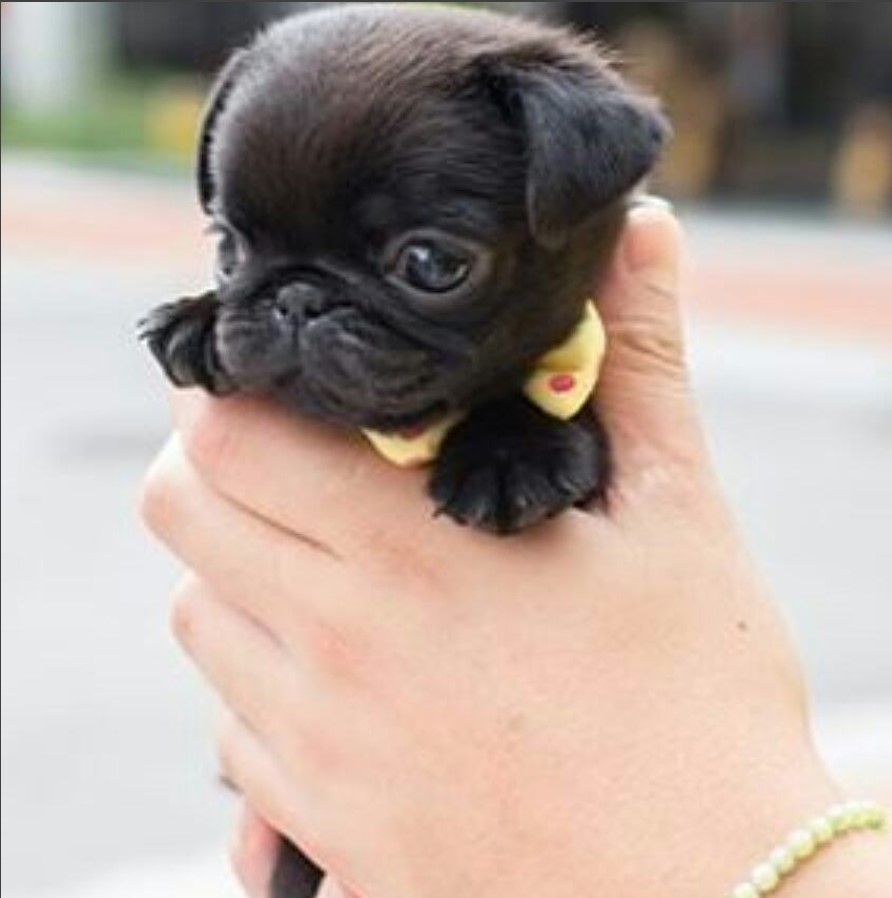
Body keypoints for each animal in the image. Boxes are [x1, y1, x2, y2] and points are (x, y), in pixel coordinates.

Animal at [141, 5, 668, 888]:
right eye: (228, 248)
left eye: (429, 263)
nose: (297, 297)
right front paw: (196, 320)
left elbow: (541, 392)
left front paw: (509, 455)